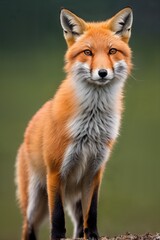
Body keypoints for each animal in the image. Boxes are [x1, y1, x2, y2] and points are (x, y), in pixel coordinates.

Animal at [15, 7, 133, 240]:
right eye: (87, 52)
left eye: (112, 51)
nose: (102, 73)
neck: (91, 124)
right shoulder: (55, 172)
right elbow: (57, 216)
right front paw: (58, 236)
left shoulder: (94, 171)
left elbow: (92, 213)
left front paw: (93, 235)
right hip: (35, 199)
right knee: (28, 226)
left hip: (74, 195)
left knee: (79, 222)